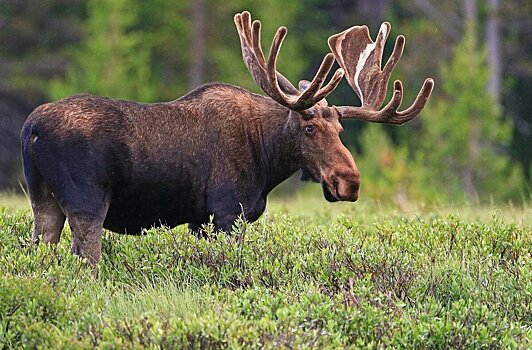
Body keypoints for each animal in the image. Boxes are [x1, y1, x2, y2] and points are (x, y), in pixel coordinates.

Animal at [22, 10, 434, 264]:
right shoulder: (226, 212)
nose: (349, 182)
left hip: (43, 201)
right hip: (86, 203)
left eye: (340, 128)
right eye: (309, 127)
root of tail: (31, 130)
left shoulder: (200, 220)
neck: (267, 161)